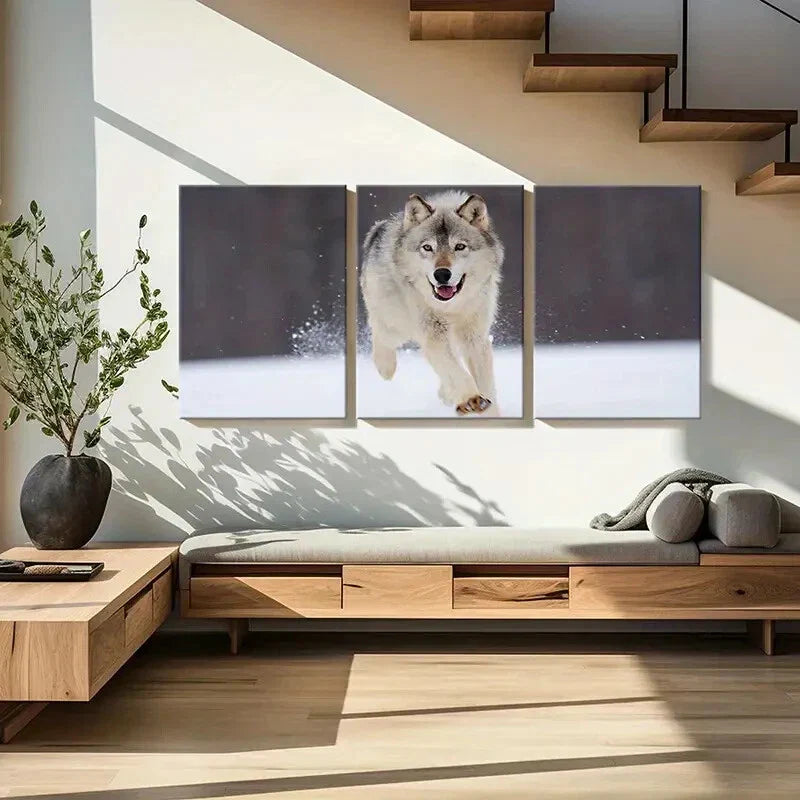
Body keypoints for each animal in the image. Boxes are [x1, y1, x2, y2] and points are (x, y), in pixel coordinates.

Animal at [360, 190, 504, 416]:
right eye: (427, 247)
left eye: (459, 246)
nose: (442, 274)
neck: (450, 308)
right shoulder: (433, 334)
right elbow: (456, 371)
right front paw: (471, 398)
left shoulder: (475, 337)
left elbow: (484, 382)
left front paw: (488, 411)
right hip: (396, 325)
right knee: (380, 335)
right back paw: (385, 367)